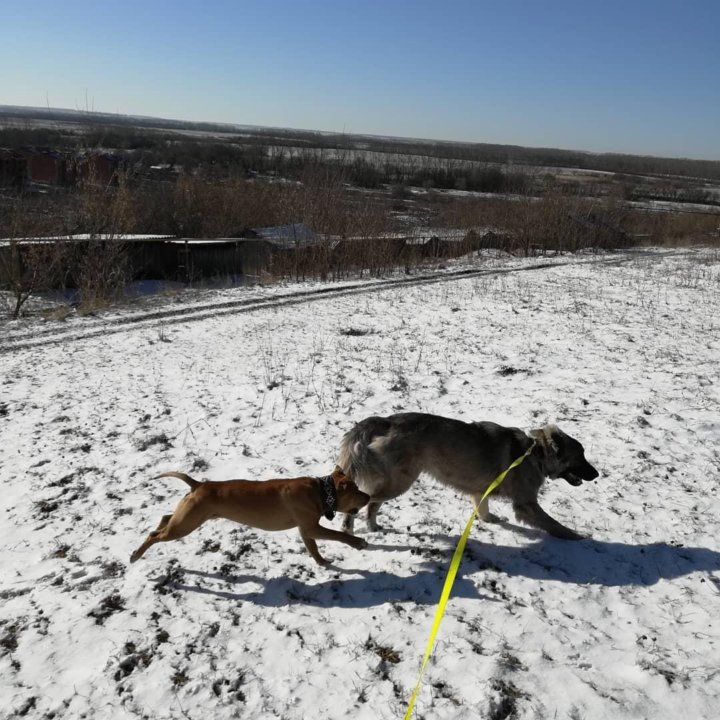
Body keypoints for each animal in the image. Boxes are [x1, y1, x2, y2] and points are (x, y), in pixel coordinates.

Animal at [129, 466, 372, 568]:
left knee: (164, 518)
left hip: (187, 516)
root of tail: (198, 485)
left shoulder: (306, 530)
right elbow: (339, 535)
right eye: (356, 491)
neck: (321, 491)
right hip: (186, 524)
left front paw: (322, 563)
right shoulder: (312, 527)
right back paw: (135, 555)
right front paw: (358, 542)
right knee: (155, 535)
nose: (369, 496)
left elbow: (313, 549)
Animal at [340, 414, 600, 536]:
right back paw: (351, 527)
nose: (597, 475)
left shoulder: (479, 491)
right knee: (365, 501)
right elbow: (553, 523)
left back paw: (373, 526)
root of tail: (388, 420)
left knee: (372, 504)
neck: (534, 453)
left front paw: (489, 519)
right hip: (401, 481)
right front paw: (577, 537)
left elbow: (482, 509)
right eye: (580, 457)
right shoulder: (526, 504)